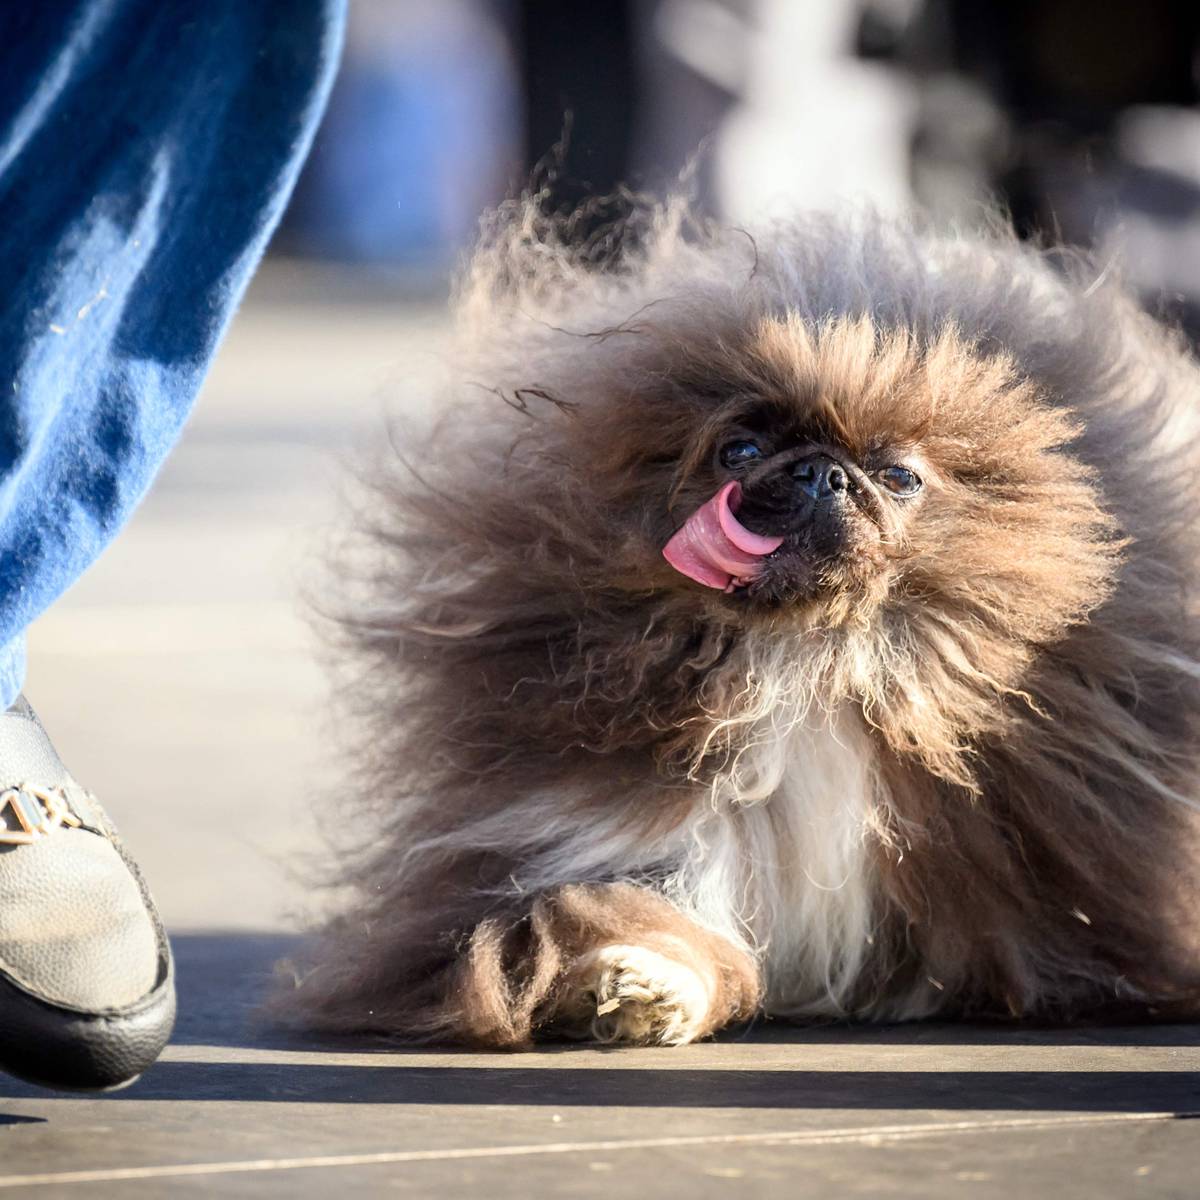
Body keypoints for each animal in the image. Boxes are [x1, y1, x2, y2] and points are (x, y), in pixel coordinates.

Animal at [285, 196, 1200, 1041]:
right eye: (743, 451)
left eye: (900, 476)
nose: (823, 473)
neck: (812, 663)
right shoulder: (634, 825)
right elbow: (657, 918)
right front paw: (637, 990)